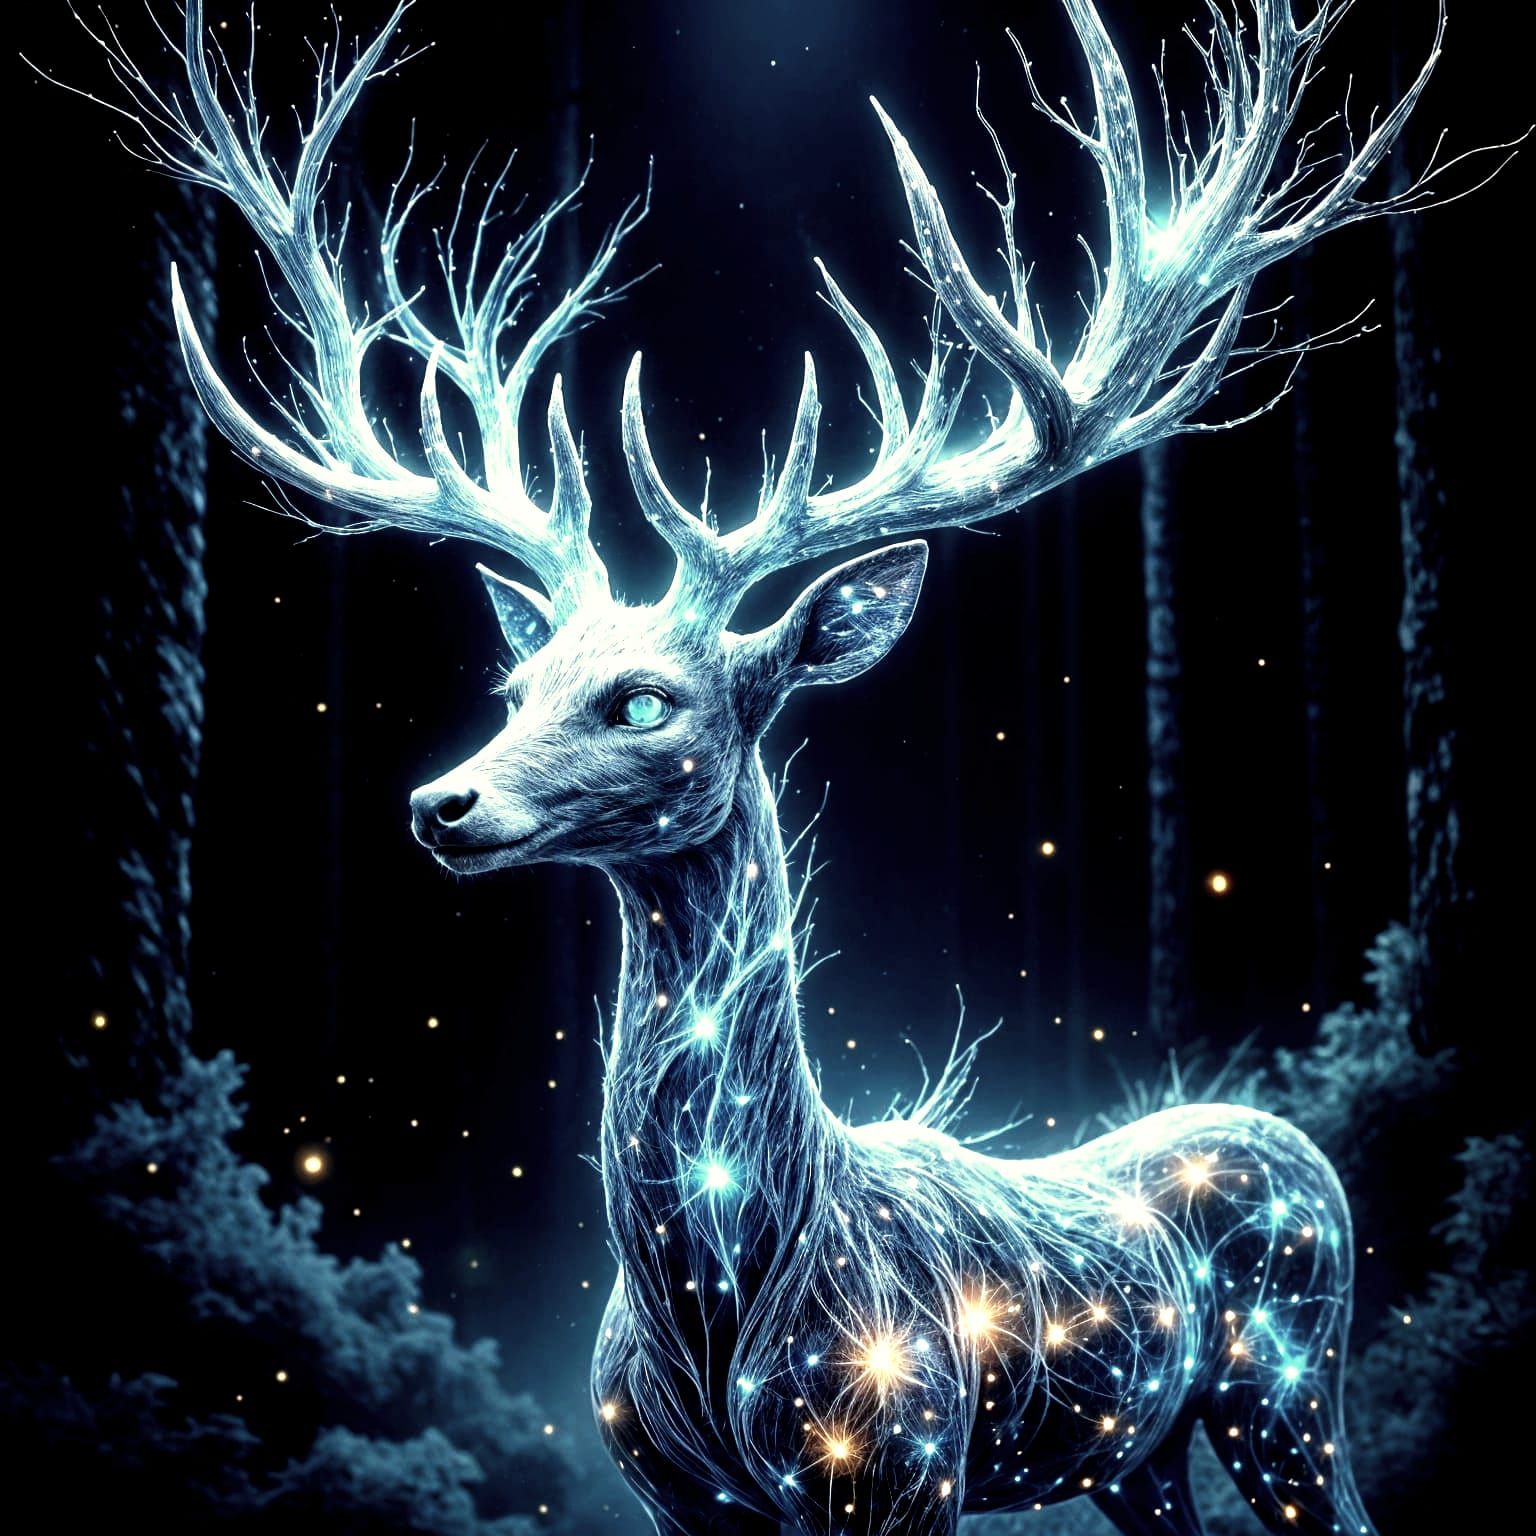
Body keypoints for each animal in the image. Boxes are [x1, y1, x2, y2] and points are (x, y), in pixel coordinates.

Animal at [63, 0, 1504, 1531]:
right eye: (516, 688)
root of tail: (1303, 1153)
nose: (440, 802)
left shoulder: (907, 1454)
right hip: (1140, 1450)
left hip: (1281, 1385)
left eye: (645, 700)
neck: (722, 1310)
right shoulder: (665, 1486)